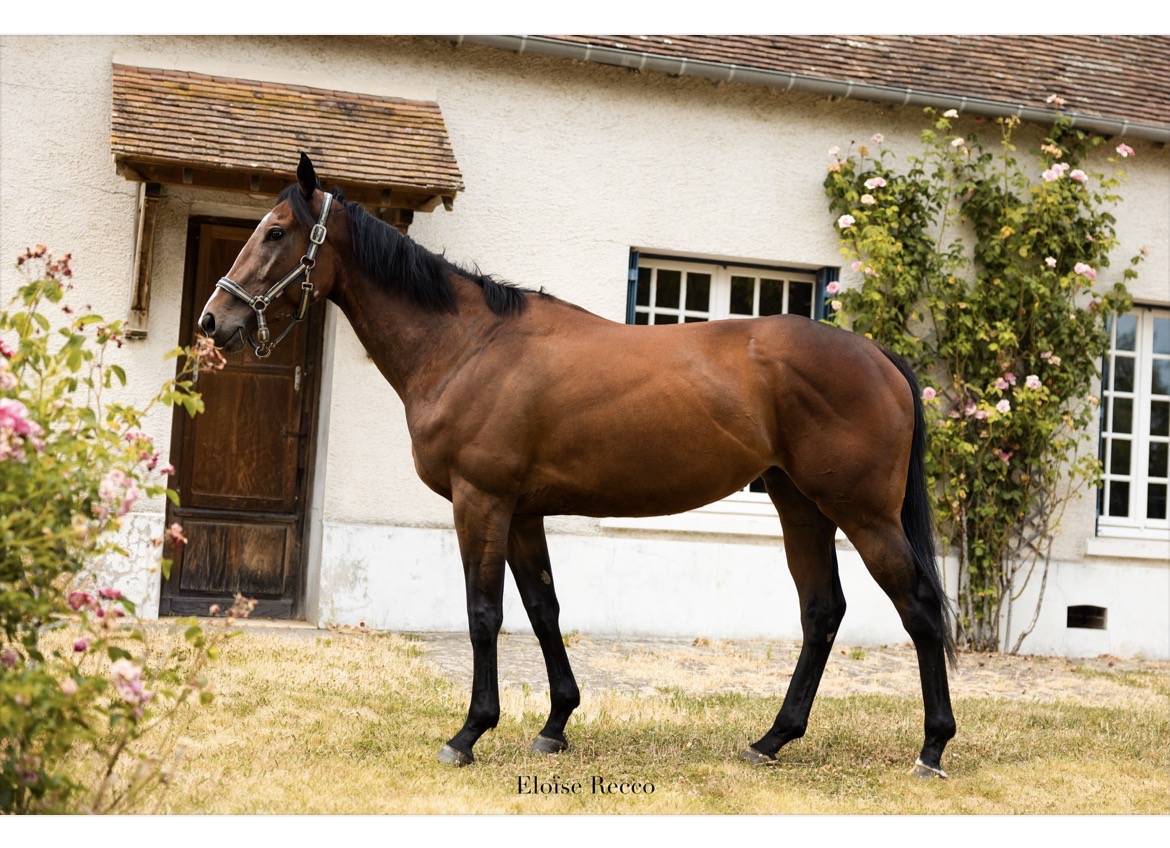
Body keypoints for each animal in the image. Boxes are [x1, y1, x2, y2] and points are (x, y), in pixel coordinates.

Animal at [197, 152, 957, 779]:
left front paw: (469, 733)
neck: (468, 345)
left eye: (274, 232)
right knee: (822, 610)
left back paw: (932, 747)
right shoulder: (523, 512)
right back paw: (772, 739)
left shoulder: (481, 500)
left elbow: (483, 612)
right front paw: (555, 723)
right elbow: (542, 609)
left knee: (917, 606)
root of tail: (877, 355)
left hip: (861, 513)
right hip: (799, 505)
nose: (212, 322)